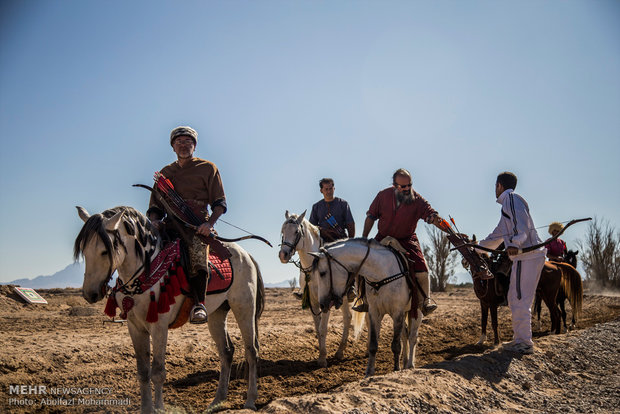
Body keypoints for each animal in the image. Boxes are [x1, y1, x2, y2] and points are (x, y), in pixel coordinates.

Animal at [75, 205, 264, 412]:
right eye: (84, 250)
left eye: (104, 251)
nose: (90, 293)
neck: (145, 272)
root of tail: (246, 255)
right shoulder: (135, 327)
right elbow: (143, 372)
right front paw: (146, 409)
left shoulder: (159, 326)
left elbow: (157, 371)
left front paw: (158, 409)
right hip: (217, 313)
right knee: (226, 352)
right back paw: (217, 400)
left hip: (244, 307)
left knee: (251, 351)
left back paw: (250, 401)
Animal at [280, 212, 364, 368]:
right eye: (282, 231)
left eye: (296, 232)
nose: (283, 255)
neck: (314, 267)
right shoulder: (313, 301)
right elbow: (318, 329)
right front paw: (320, 354)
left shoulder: (326, 300)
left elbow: (323, 328)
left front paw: (323, 358)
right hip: (342, 298)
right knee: (347, 317)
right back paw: (339, 352)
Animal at [312, 238, 424, 376]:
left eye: (322, 273)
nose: (322, 304)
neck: (381, 273)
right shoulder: (375, 312)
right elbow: (373, 345)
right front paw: (369, 372)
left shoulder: (397, 312)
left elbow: (396, 345)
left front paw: (395, 369)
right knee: (405, 335)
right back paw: (405, 363)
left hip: (416, 312)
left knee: (413, 337)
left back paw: (410, 365)